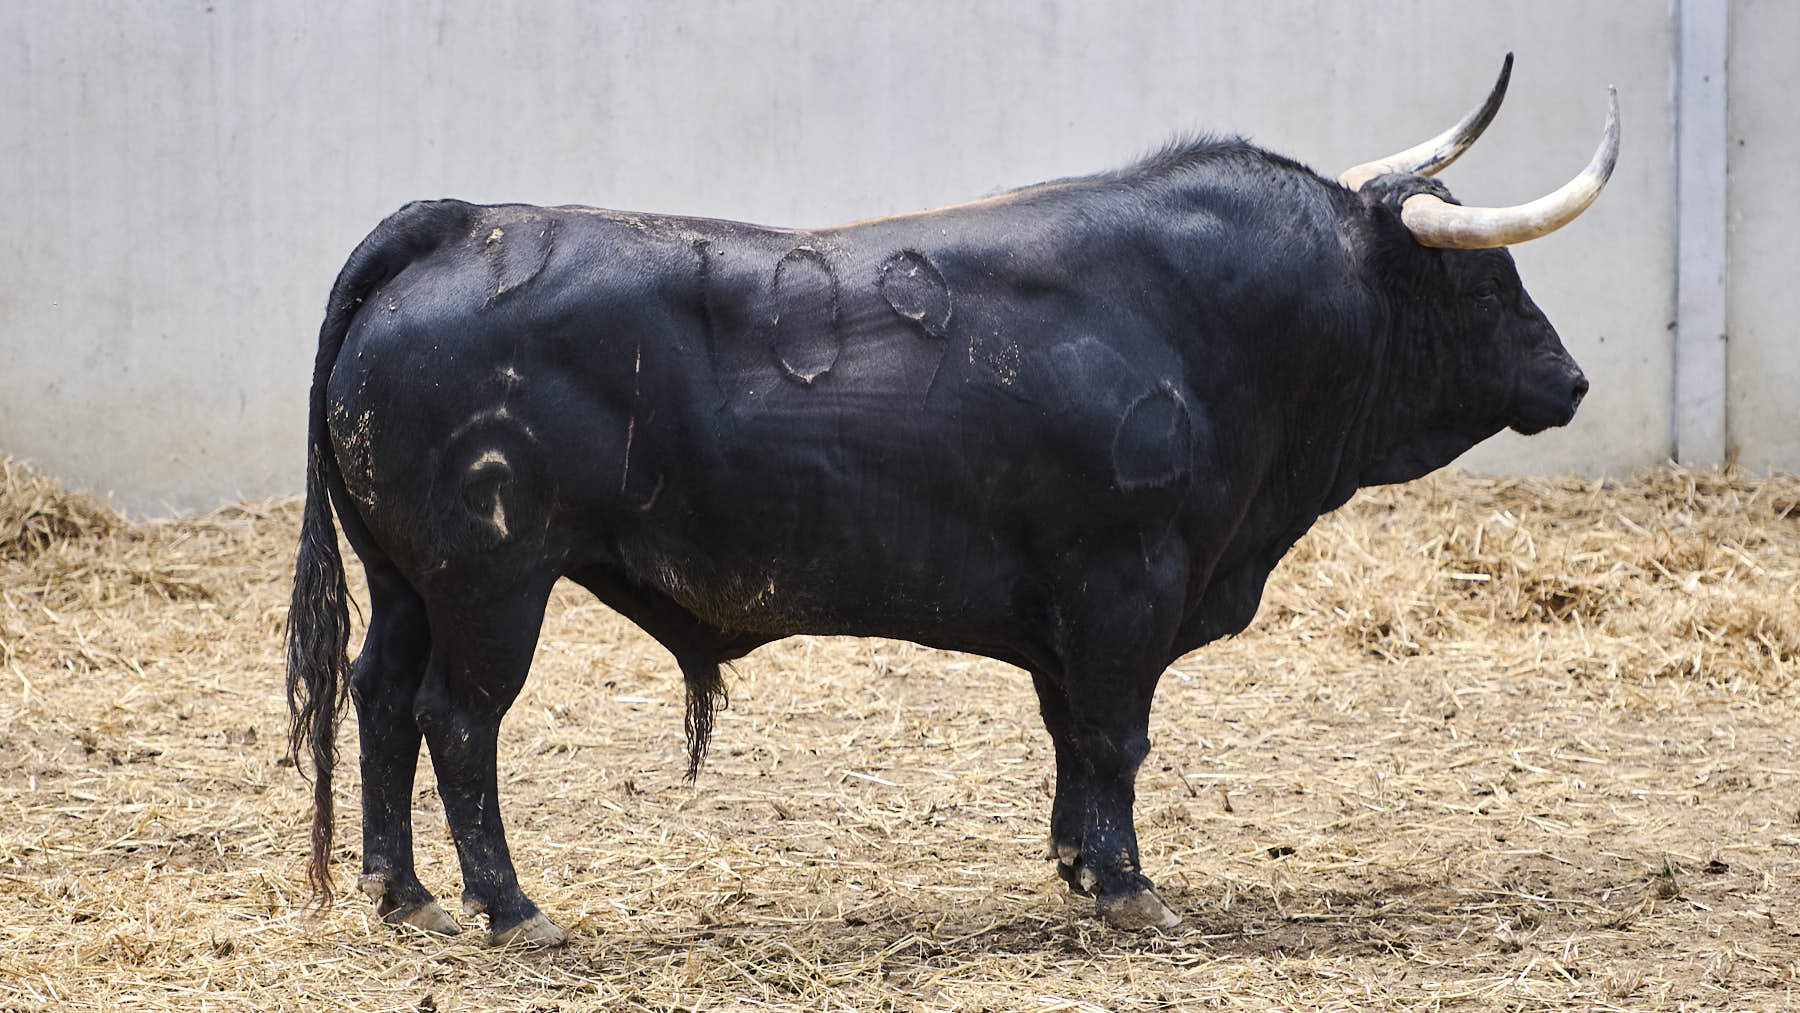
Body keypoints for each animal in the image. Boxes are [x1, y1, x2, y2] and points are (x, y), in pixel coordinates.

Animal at [291, 67, 1620, 950]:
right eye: (1486, 275)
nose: (1571, 378)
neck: (1213, 319)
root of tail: (462, 224)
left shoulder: (1073, 611)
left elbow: (1073, 735)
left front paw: (1079, 863)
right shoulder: (1126, 583)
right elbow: (1116, 734)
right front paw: (1130, 885)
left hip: (411, 583)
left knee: (380, 697)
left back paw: (402, 892)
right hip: (492, 581)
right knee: (459, 720)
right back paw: (511, 907)